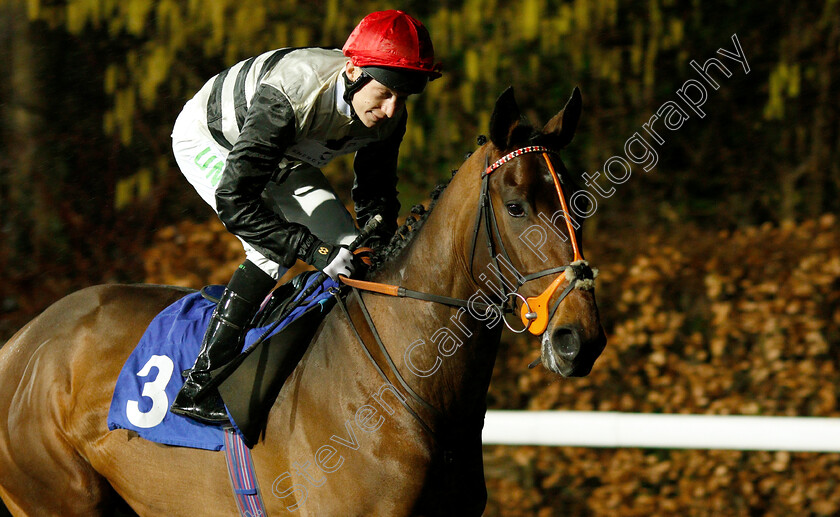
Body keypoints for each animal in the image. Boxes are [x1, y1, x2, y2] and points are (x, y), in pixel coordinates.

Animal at [0, 86, 604, 512]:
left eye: (577, 200)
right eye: (516, 206)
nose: (580, 340)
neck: (404, 382)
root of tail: (23, 342)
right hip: (57, 493)